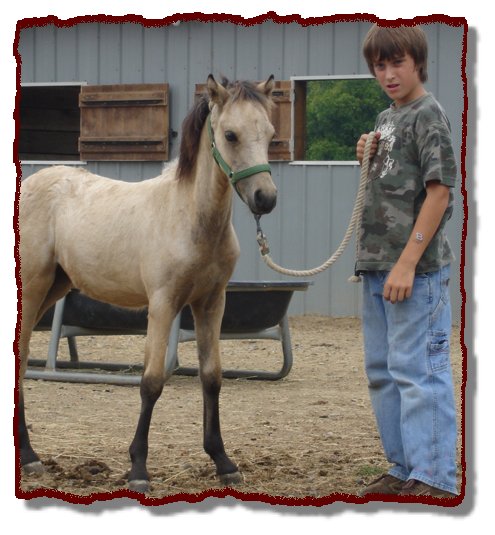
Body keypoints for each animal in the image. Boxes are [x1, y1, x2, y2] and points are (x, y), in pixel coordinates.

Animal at [17, 74, 277, 493]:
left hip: (55, 287)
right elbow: (152, 381)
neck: (189, 216)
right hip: (33, 286)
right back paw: (29, 456)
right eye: (231, 135)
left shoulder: (211, 303)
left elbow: (212, 377)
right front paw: (138, 469)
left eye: (269, 133)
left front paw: (223, 461)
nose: (265, 198)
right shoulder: (163, 304)